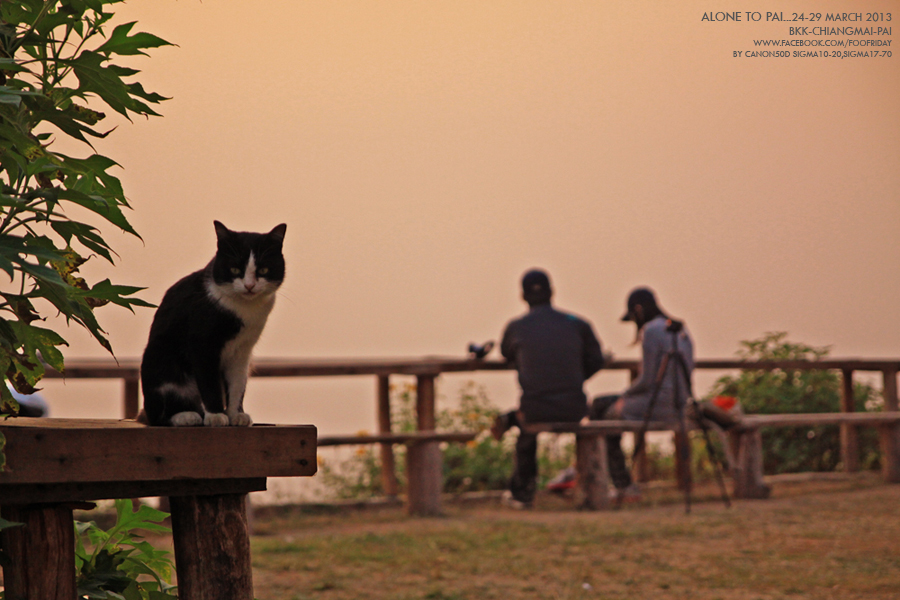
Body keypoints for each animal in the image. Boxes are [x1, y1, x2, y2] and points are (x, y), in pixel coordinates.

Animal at [140, 221, 286, 426]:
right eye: (234, 269)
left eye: (263, 270)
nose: (249, 285)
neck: (244, 310)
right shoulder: (201, 344)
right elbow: (209, 382)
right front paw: (216, 415)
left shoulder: (243, 350)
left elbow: (238, 383)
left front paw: (235, 414)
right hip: (160, 360)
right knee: (158, 415)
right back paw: (186, 416)